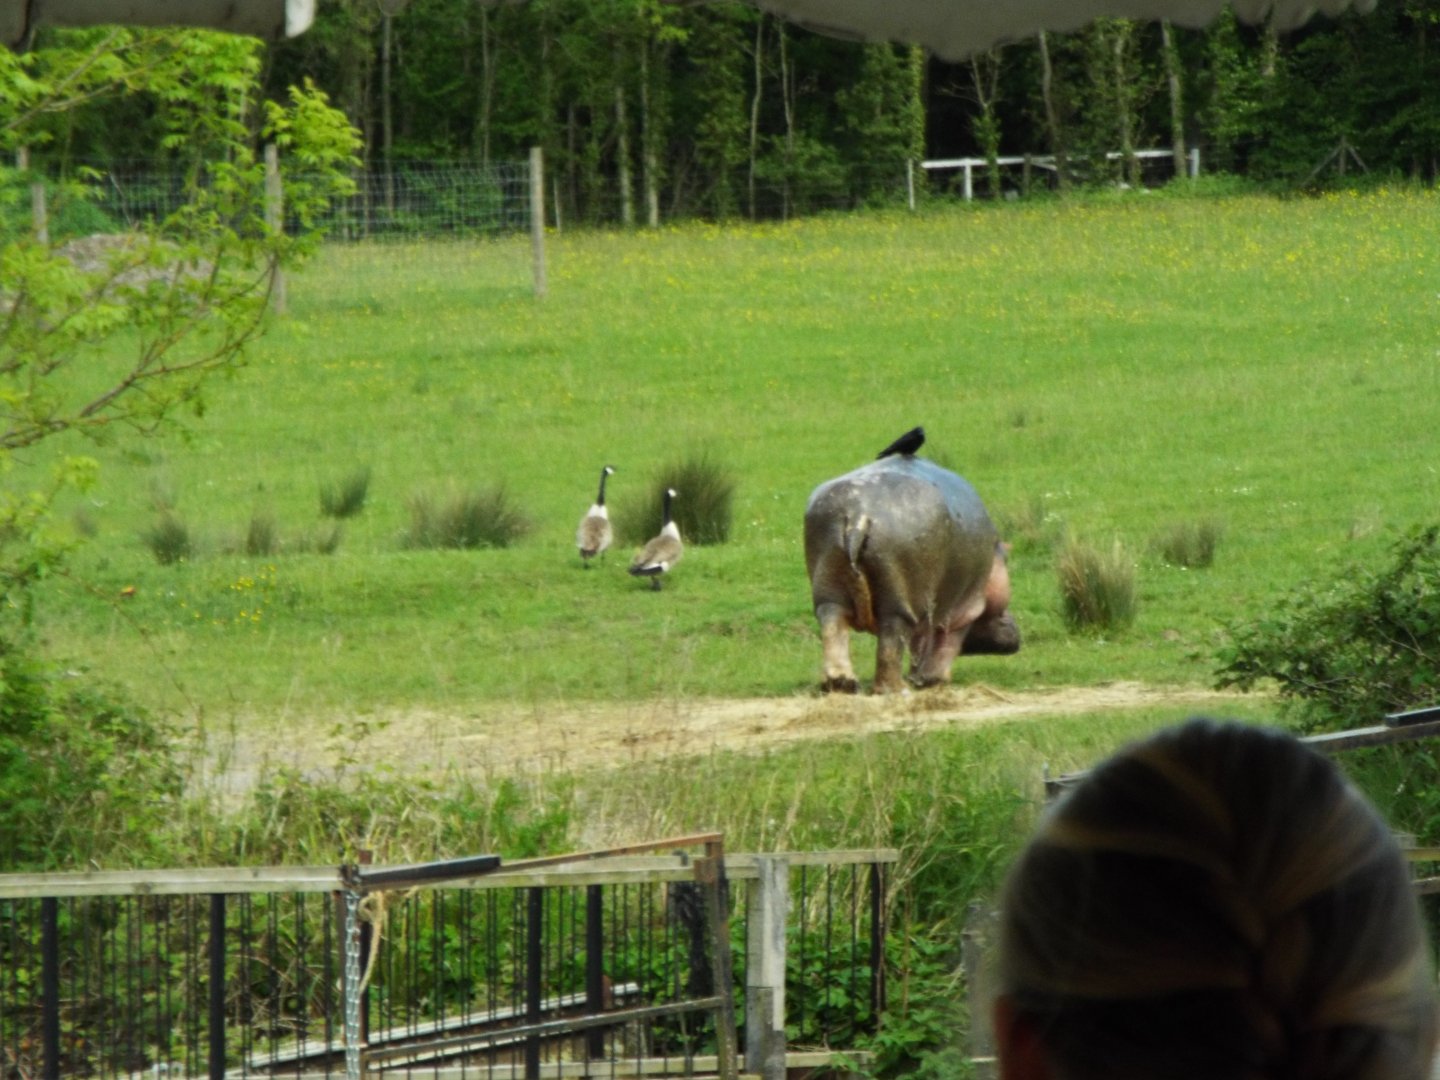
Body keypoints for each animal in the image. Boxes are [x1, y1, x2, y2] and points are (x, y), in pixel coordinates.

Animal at [803, 453, 1019, 694]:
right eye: (1006, 561)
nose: (1015, 628)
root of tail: (859, 515)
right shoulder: (964, 611)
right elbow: (944, 646)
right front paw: (932, 680)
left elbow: (920, 646)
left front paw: (918, 678)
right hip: (900, 601)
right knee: (891, 641)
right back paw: (896, 689)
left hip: (829, 584)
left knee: (833, 625)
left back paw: (842, 684)